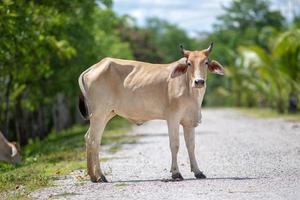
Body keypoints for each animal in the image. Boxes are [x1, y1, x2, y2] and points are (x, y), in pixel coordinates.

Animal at [78, 43, 224, 182]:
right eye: (189, 63)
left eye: (206, 62)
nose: (199, 82)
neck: (189, 90)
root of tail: (93, 67)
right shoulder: (173, 118)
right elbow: (175, 144)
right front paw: (176, 173)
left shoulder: (189, 122)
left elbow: (191, 146)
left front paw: (198, 172)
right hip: (99, 114)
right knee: (93, 140)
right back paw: (99, 176)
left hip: (106, 114)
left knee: (89, 138)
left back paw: (93, 176)